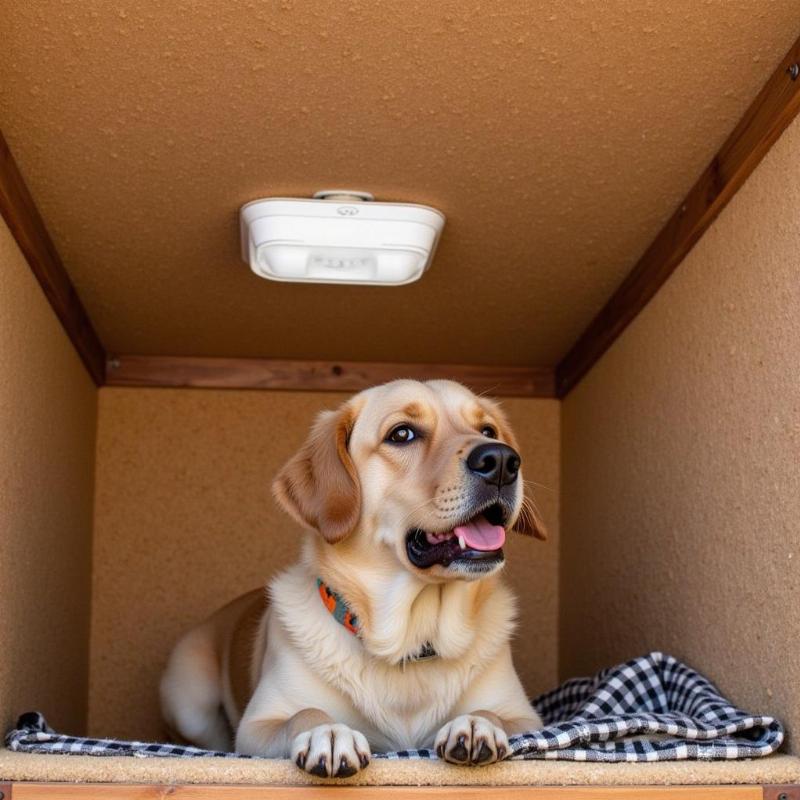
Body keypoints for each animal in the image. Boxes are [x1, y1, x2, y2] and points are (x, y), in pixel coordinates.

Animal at [162, 380, 552, 776]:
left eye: (487, 431)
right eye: (402, 434)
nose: (502, 461)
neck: (411, 641)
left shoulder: (526, 717)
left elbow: (493, 713)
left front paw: (476, 723)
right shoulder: (258, 724)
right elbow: (305, 713)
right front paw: (328, 733)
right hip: (189, 702)